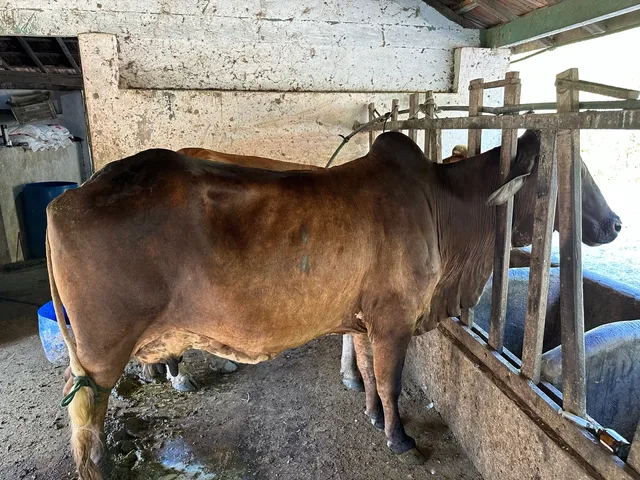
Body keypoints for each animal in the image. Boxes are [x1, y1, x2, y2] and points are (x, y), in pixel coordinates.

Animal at [46, 130, 621, 480]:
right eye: (560, 177)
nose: (614, 223)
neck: (446, 209)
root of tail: (70, 197)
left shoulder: (366, 320)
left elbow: (367, 370)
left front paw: (371, 413)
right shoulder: (393, 320)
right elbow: (388, 379)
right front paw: (399, 436)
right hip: (102, 348)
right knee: (84, 411)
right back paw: (98, 466)